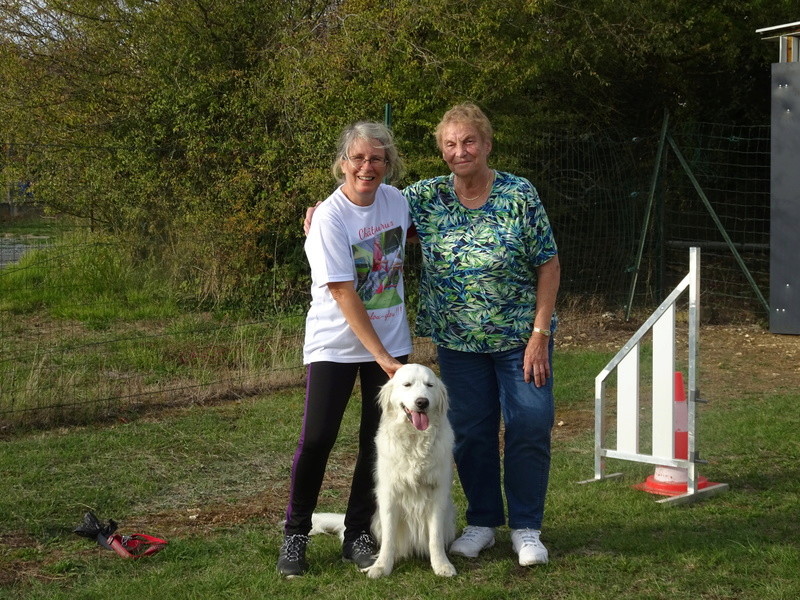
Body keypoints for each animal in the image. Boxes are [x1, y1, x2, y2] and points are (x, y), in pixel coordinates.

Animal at [310, 364, 456, 580]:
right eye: (407, 384)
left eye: (430, 385)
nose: (422, 402)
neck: (414, 439)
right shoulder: (388, 494)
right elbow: (389, 538)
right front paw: (381, 566)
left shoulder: (438, 492)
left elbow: (435, 536)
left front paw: (441, 565)